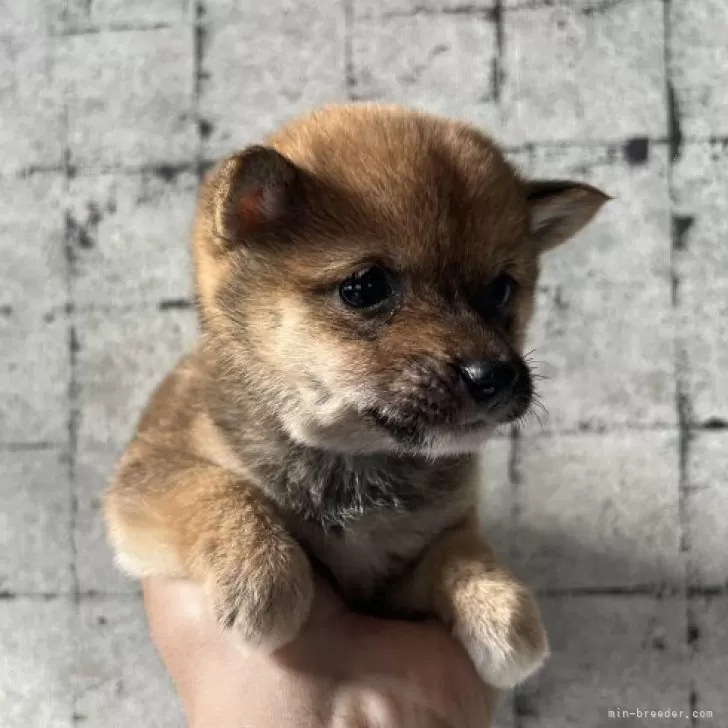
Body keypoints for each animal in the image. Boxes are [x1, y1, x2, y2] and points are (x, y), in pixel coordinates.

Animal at [105, 102, 604, 688]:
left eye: (502, 290)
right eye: (365, 288)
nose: (494, 376)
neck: (352, 465)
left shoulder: (399, 576)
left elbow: (459, 550)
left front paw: (500, 608)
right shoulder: (147, 475)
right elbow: (213, 487)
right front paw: (262, 571)